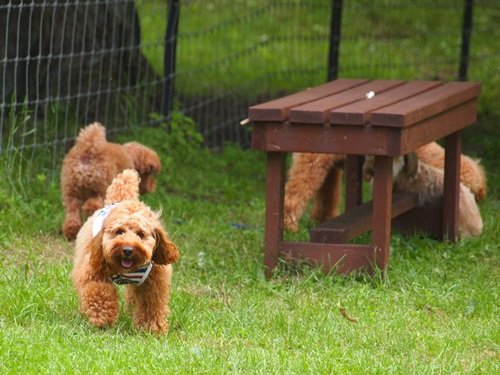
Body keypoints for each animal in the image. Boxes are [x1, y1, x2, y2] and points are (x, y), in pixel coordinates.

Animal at [70, 169, 180, 334]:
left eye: (141, 234)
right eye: (119, 231)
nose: (128, 249)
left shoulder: (153, 283)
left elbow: (151, 304)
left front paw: (151, 328)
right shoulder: (94, 273)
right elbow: (99, 292)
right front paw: (103, 318)